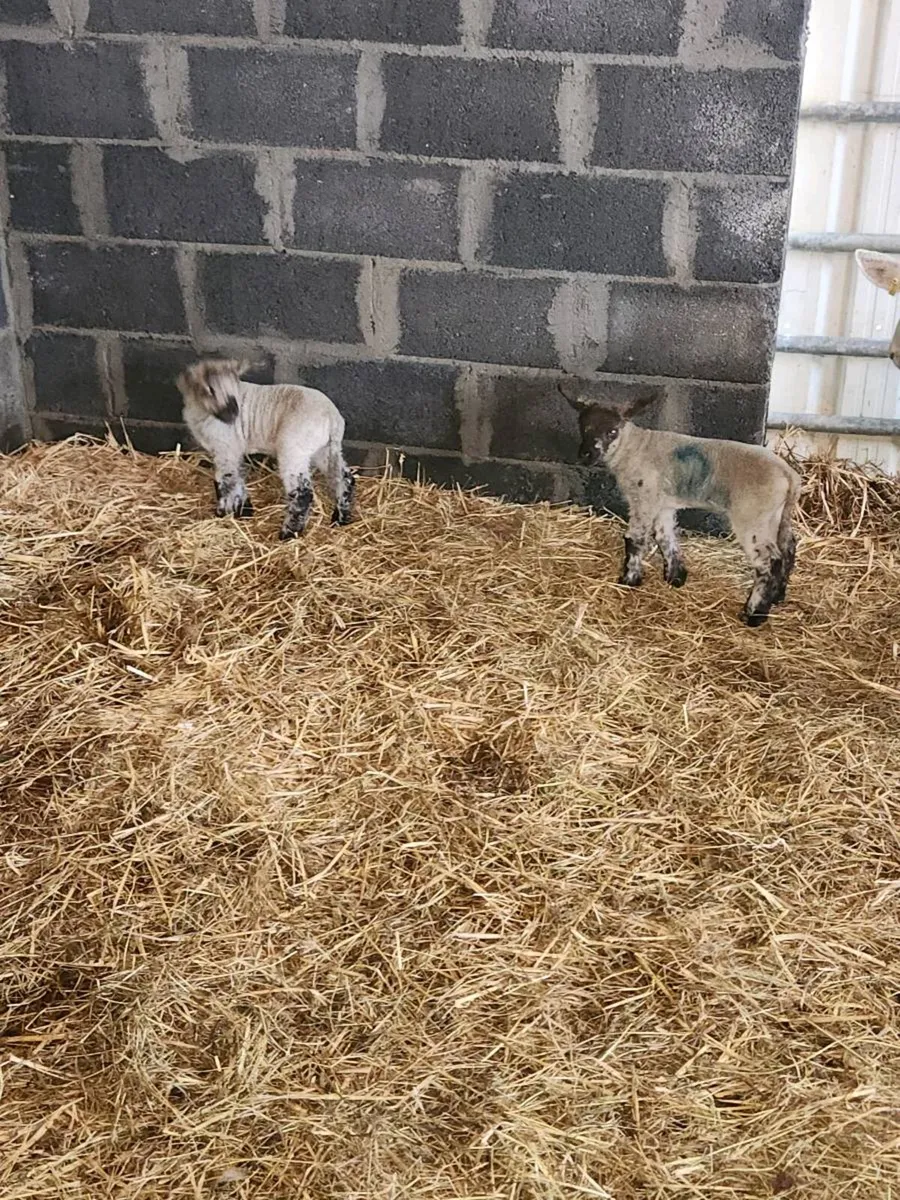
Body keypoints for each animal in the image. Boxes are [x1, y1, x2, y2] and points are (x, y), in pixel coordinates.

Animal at [176, 358, 354, 540]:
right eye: (210, 390)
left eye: (234, 386)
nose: (233, 414)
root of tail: (332, 418)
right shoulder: (232, 450)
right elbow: (237, 479)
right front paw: (245, 510)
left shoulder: (225, 448)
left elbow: (224, 481)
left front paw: (223, 512)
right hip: (325, 450)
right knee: (345, 478)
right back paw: (340, 518)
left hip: (294, 448)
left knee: (303, 493)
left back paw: (289, 533)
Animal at [561, 385, 802, 626]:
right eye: (583, 427)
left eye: (612, 431)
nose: (586, 454)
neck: (635, 448)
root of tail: (789, 475)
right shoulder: (663, 504)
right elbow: (664, 536)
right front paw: (675, 577)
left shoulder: (643, 498)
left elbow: (635, 539)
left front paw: (629, 580)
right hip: (777, 516)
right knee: (788, 548)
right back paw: (777, 596)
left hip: (753, 517)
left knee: (768, 561)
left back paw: (754, 614)